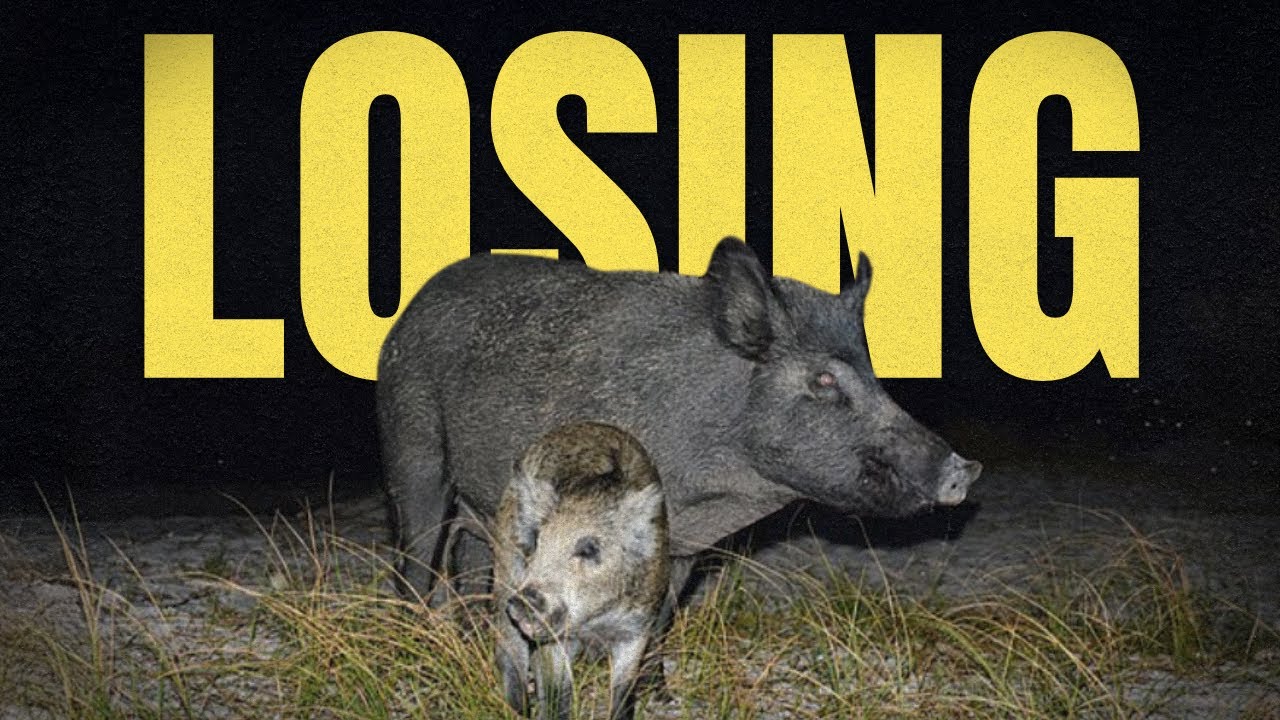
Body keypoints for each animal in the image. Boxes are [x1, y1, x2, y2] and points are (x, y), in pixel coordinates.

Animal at [377, 236, 981, 609]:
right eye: (825, 379)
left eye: (875, 375)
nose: (963, 469)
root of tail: (406, 317)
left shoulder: (687, 547)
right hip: (410, 443)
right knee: (418, 549)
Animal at [493, 421, 669, 720]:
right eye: (539, 540)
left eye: (589, 549)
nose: (525, 600)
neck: (593, 620)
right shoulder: (554, 639)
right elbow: (558, 695)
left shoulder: (637, 626)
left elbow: (623, 693)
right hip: (504, 572)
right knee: (510, 654)